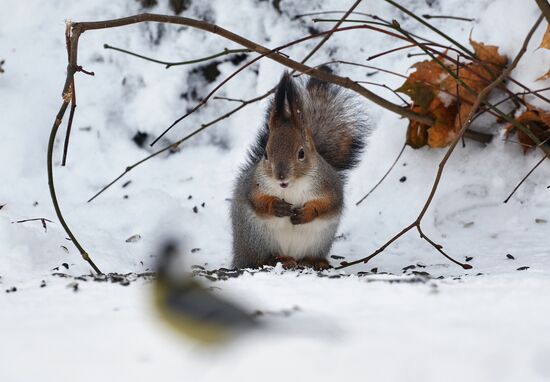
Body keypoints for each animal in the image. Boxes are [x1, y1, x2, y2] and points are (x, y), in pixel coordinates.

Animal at [231, 71, 368, 268]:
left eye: (301, 153)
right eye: (265, 154)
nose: (280, 176)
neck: (291, 186)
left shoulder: (329, 184)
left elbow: (328, 203)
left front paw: (307, 212)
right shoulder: (253, 185)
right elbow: (257, 200)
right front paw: (276, 206)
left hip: (318, 241)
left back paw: (314, 261)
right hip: (256, 240)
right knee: (259, 259)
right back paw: (277, 259)